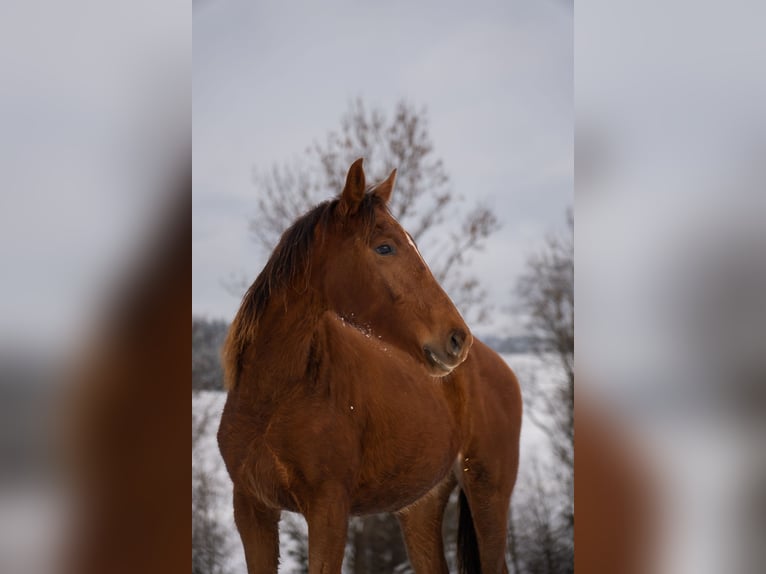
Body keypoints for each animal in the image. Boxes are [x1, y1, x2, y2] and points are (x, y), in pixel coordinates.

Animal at [217, 158, 522, 574]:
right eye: (384, 247)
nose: (457, 339)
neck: (273, 397)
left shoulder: (329, 510)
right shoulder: (252, 509)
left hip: (488, 493)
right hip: (421, 506)